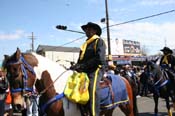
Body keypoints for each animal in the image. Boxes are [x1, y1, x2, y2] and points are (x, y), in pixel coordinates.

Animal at [2, 47, 138, 116]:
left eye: (16, 74)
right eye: (6, 76)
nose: (17, 105)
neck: (55, 88)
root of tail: (124, 77)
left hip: (127, 106)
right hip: (108, 109)